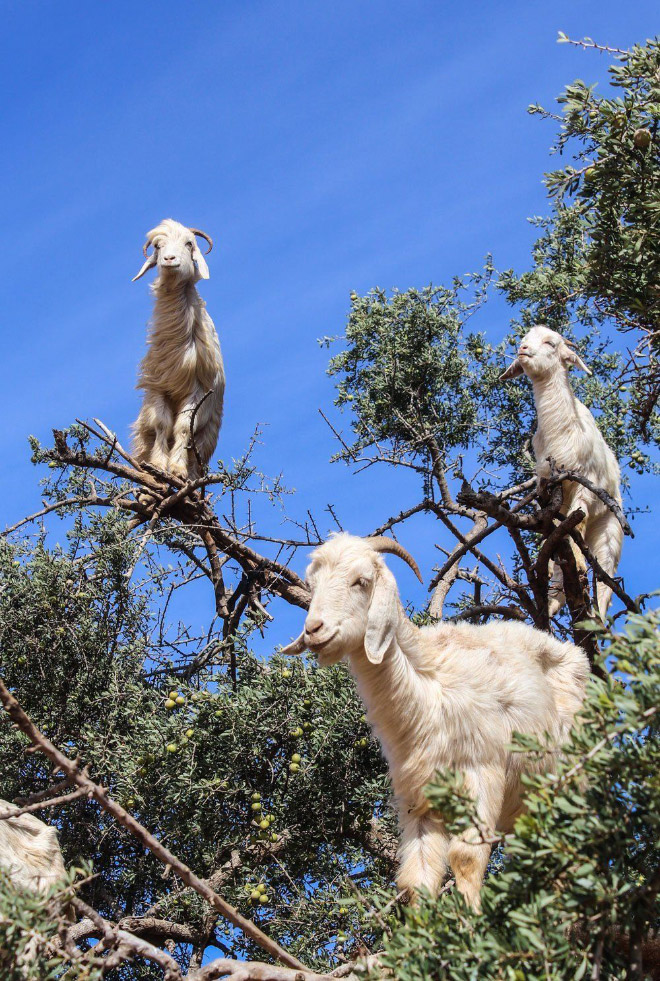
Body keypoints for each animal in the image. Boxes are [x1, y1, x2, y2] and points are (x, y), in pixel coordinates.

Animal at [130, 221, 226, 482]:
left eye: (189, 243)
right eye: (157, 246)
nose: (169, 259)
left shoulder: (198, 390)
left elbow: (182, 427)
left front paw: (176, 470)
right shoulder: (158, 387)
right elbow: (162, 424)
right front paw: (159, 466)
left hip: (207, 437)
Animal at [282, 532, 588, 908]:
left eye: (361, 581)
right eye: (312, 584)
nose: (314, 630)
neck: (430, 686)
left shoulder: (482, 770)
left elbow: (466, 858)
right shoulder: (420, 796)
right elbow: (417, 879)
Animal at [502, 326, 620, 616]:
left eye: (551, 343)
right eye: (524, 340)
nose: (523, 350)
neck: (562, 429)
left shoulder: (585, 486)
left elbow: (579, 522)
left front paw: (578, 564)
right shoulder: (547, 484)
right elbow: (556, 532)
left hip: (610, 531)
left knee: (605, 581)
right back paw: (554, 602)